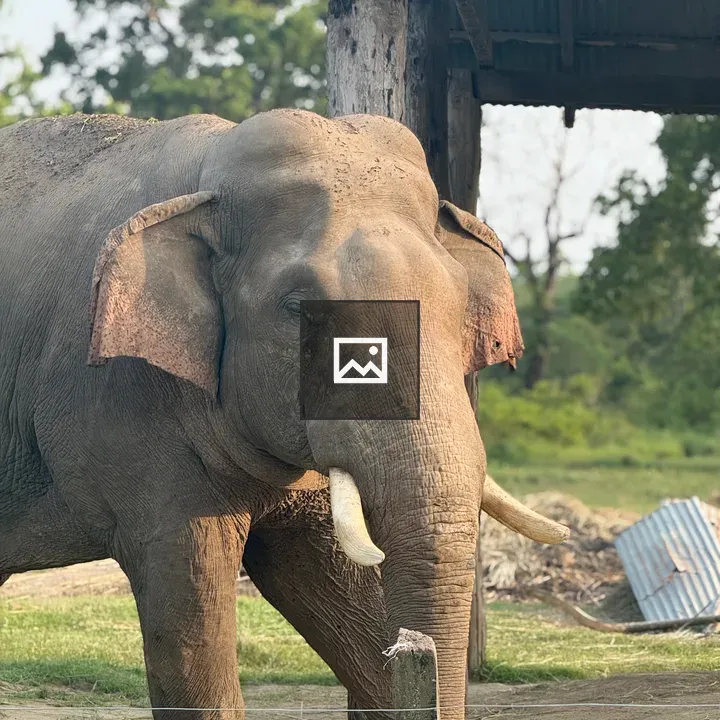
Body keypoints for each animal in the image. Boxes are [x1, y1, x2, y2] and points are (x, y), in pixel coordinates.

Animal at [0, 109, 568, 720]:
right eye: (299, 309)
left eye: (462, 302)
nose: (416, 646)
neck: (208, 169)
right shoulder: (126, 404)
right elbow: (189, 607)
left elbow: (334, 588)